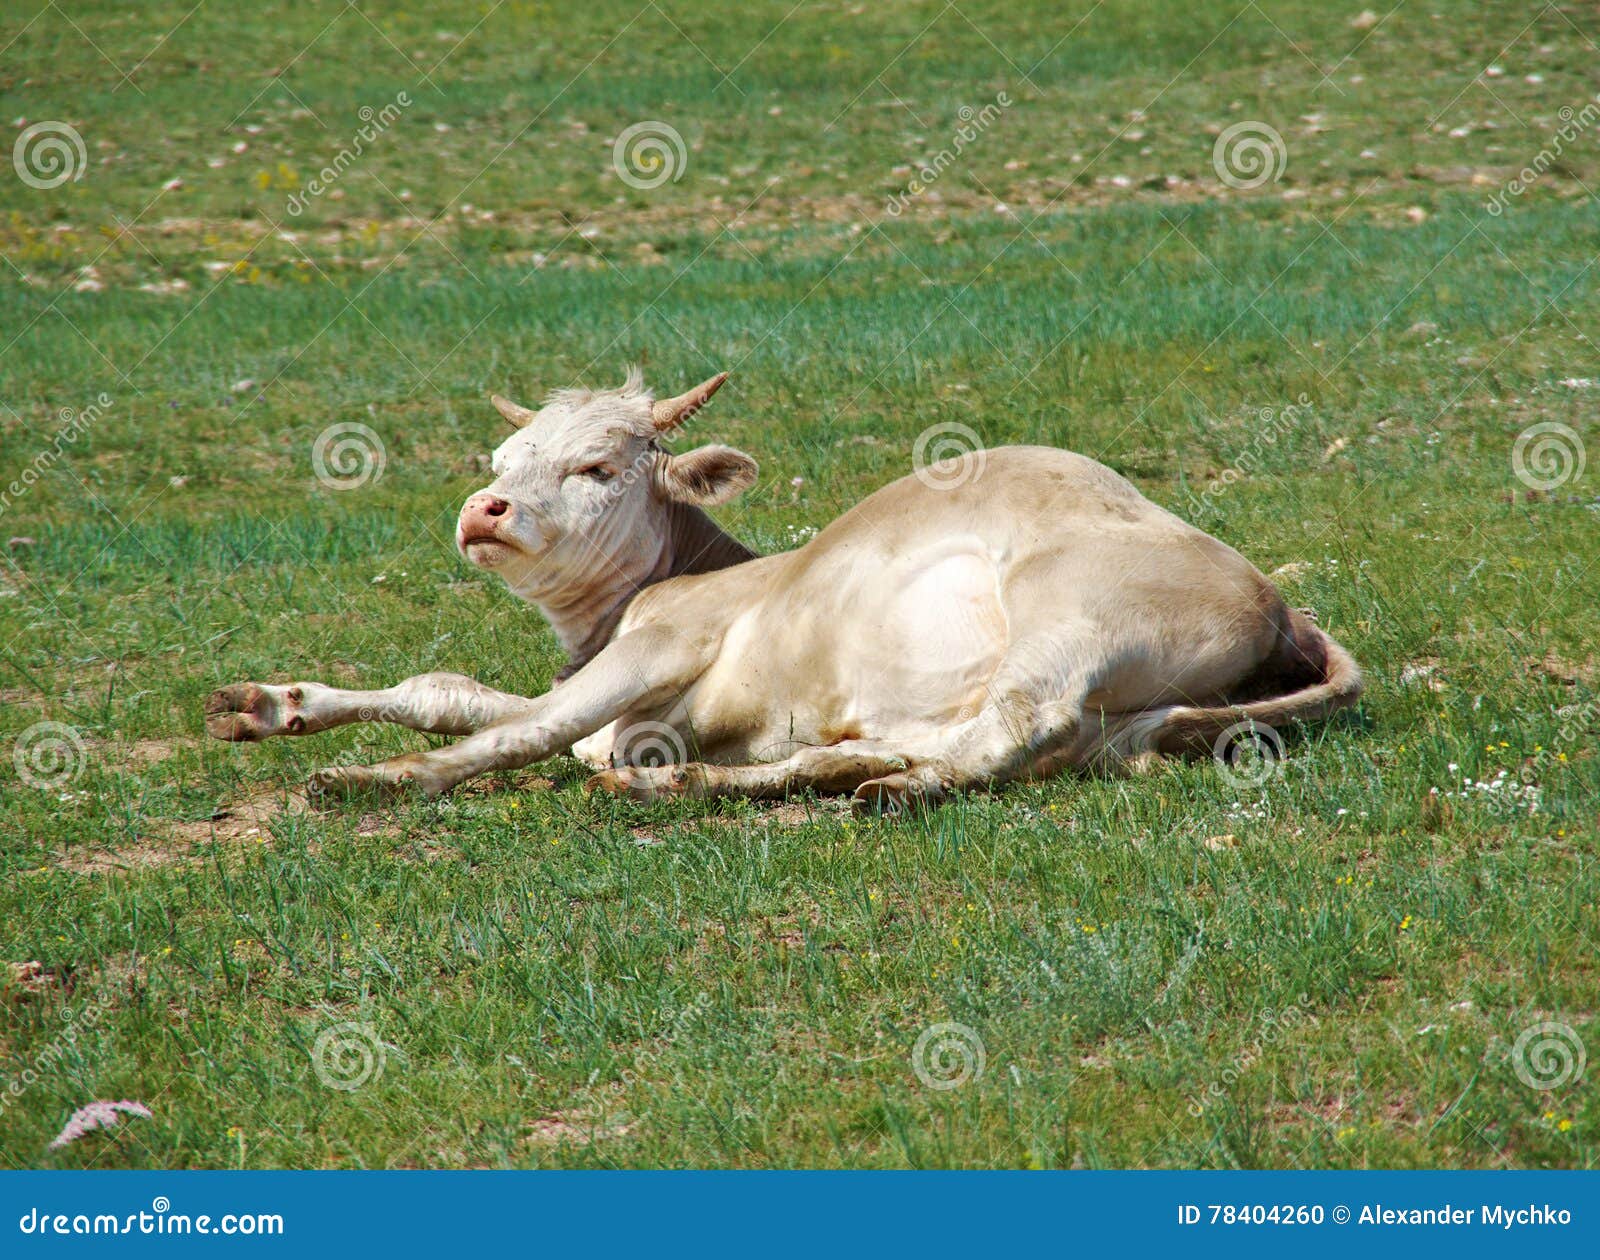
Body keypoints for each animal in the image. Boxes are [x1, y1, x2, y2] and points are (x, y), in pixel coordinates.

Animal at [204, 369, 1362, 813]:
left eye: (598, 465)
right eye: (504, 457)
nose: (483, 511)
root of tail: (1278, 600)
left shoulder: (661, 646)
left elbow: (521, 730)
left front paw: (378, 777)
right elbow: (457, 693)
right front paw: (272, 704)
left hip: (1067, 614)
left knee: (1014, 727)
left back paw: (891, 790)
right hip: (1127, 724)